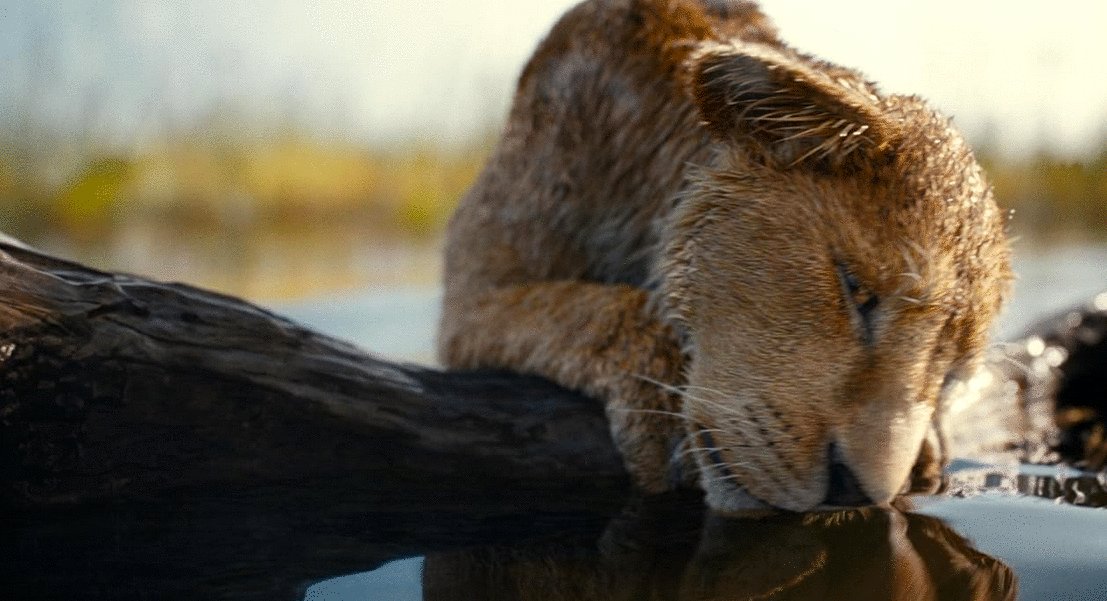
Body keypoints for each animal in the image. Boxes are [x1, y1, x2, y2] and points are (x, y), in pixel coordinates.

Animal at [437, 0, 1011, 512]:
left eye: (951, 372)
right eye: (856, 290)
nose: (856, 490)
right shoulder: (470, 295)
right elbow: (582, 308)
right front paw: (662, 409)